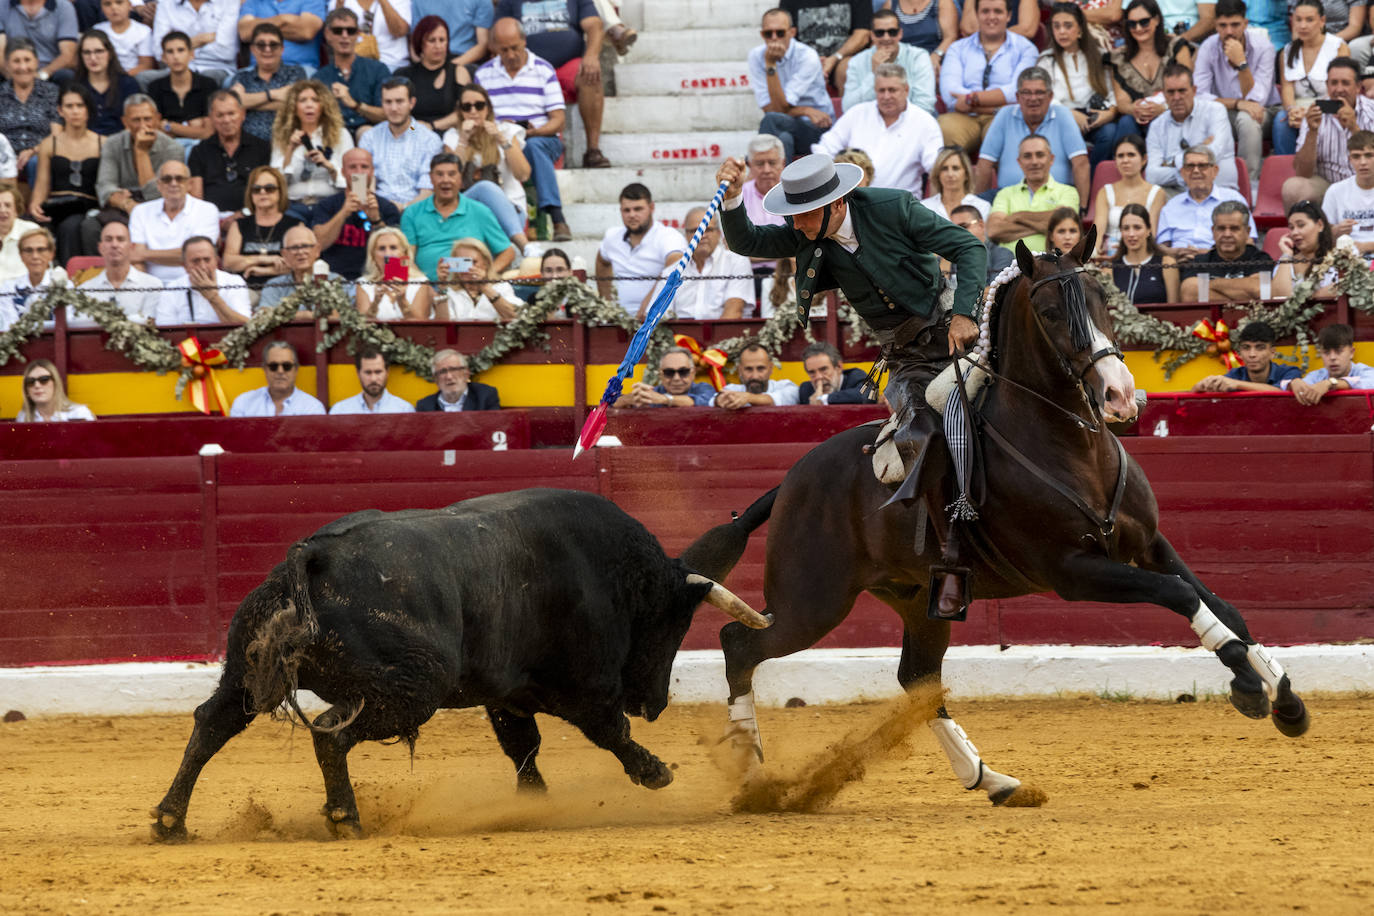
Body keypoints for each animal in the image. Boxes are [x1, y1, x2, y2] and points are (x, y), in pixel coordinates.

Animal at [153, 491, 774, 840]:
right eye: (672, 625)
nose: (654, 703)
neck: (614, 575)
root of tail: (311, 555)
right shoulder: (583, 685)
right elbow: (607, 731)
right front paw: (655, 772)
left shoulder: (506, 693)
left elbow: (523, 747)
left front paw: (534, 803)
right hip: (414, 688)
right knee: (331, 733)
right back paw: (344, 817)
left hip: (243, 670)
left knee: (212, 723)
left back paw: (170, 821)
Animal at [719, 227, 1308, 802]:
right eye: (1049, 312)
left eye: (1102, 300)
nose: (1120, 395)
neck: (1072, 445)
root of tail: (791, 480)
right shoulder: (1073, 572)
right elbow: (1181, 595)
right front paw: (1249, 688)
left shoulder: (1147, 543)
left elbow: (1222, 605)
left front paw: (1285, 700)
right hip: (812, 602)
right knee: (739, 645)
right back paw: (750, 774)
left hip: (916, 599)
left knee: (917, 678)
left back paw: (993, 780)